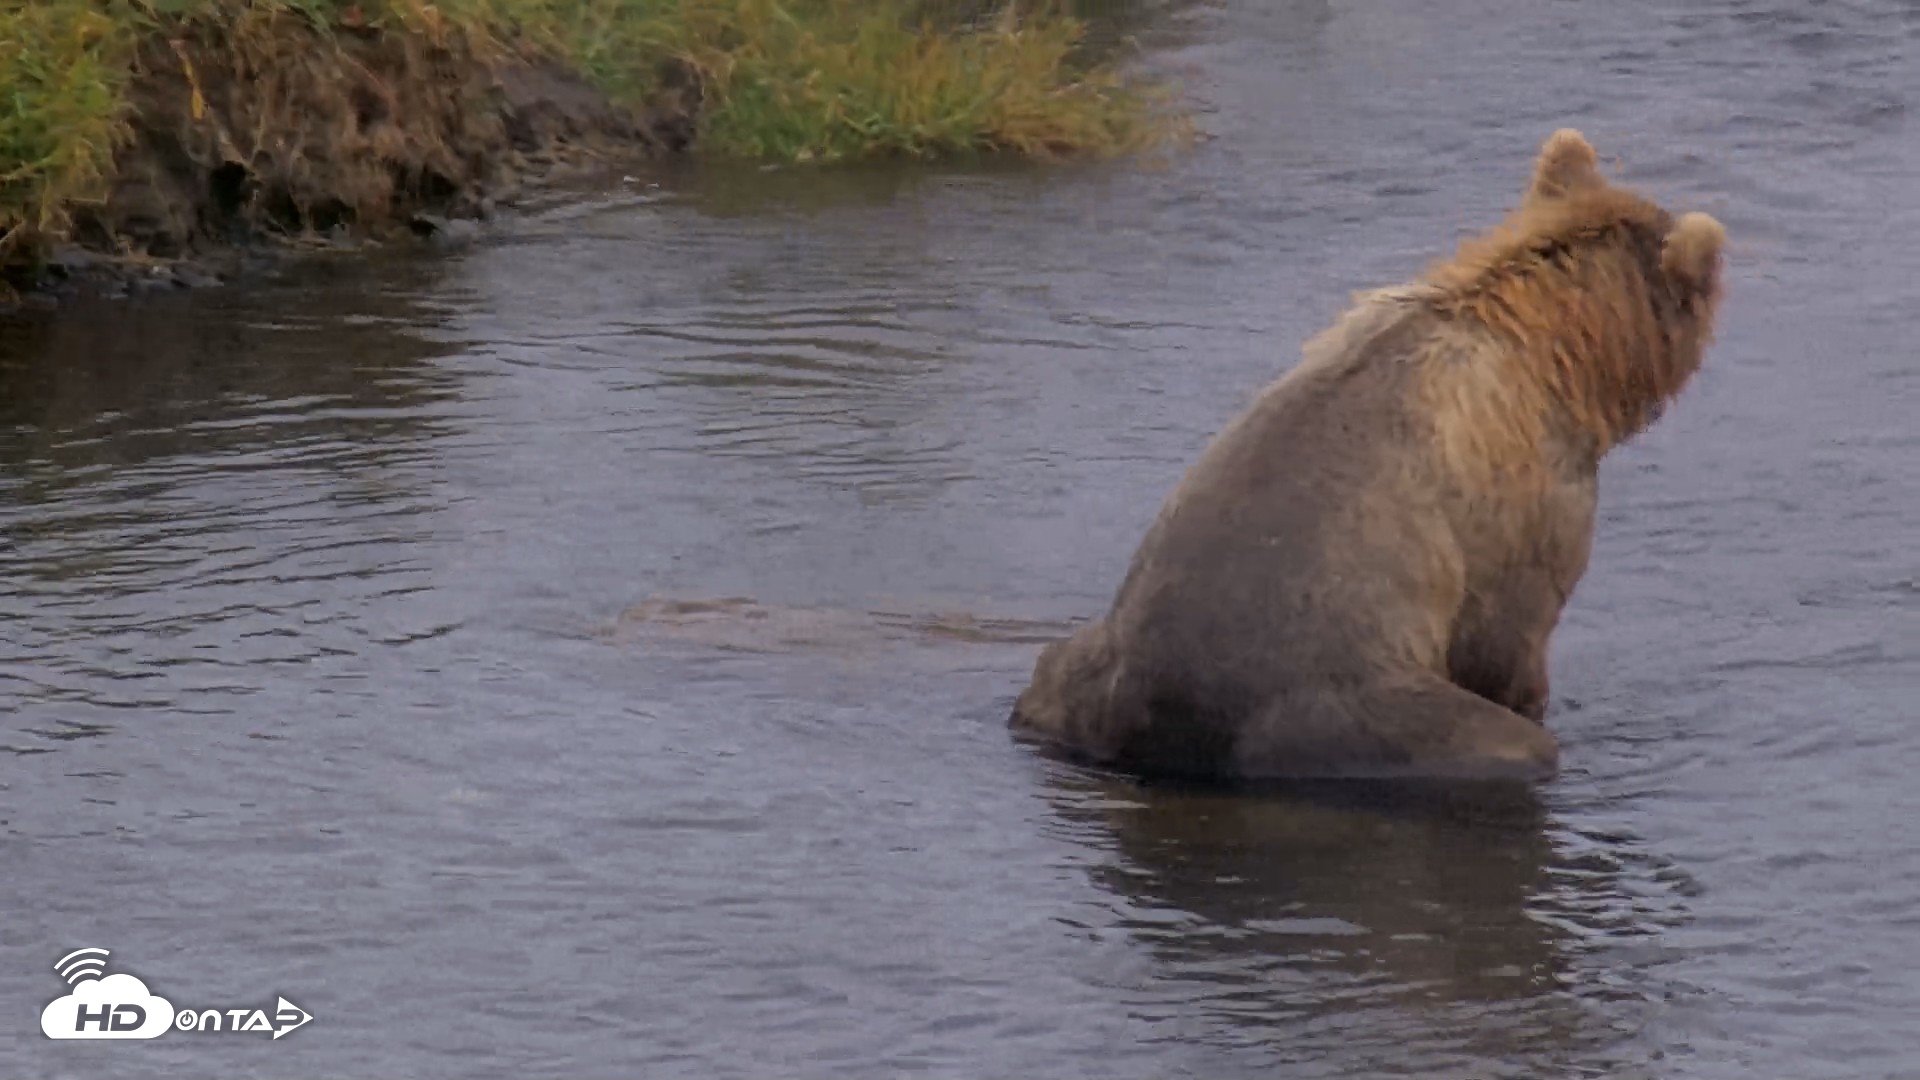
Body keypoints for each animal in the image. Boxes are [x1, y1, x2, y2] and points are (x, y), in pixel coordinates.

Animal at [1009, 129, 1726, 784]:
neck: (1555, 354)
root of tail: (1162, 718)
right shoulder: (1527, 507)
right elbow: (1510, 635)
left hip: (1076, 668)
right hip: (1354, 704)